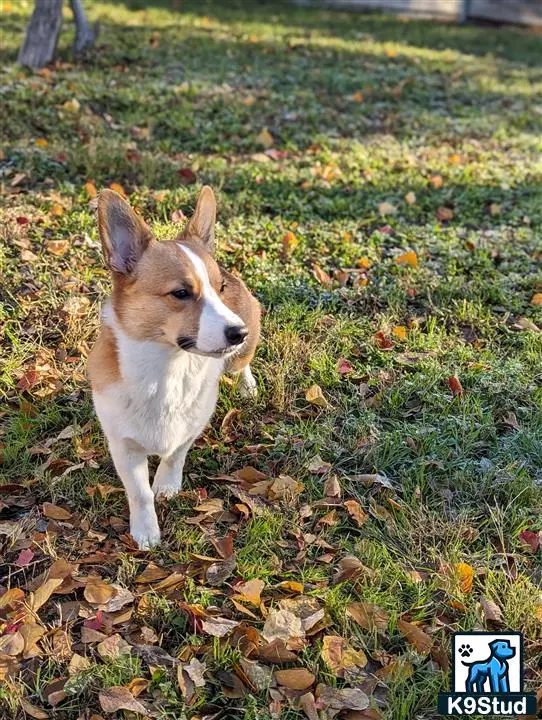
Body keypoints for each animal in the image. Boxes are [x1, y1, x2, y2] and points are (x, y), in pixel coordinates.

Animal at [88, 188, 262, 548]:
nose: (239, 332)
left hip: (239, 357)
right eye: (181, 293)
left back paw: (248, 387)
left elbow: (174, 455)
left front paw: (166, 485)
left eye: (220, 288)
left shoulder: (191, 427)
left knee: (242, 365)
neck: (168, 369)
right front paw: (146, 531)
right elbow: (140, 494)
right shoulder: (123, 447)